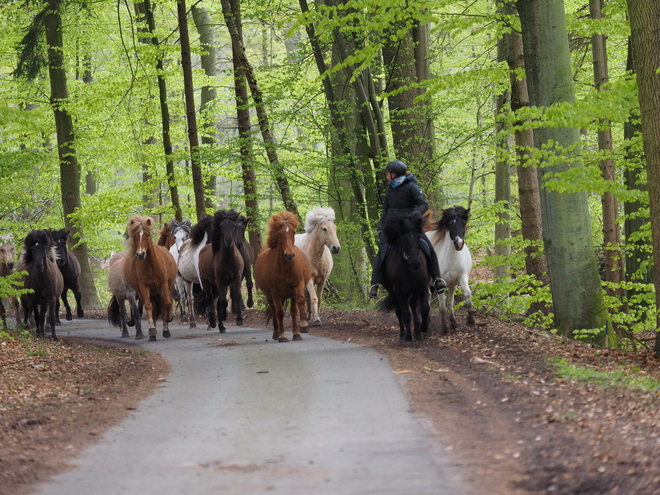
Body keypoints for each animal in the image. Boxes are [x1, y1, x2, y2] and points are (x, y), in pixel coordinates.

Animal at [255, 211, 312, 342]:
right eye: (280, 233)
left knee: (292, 311)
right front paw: (282, 335)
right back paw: (276, 333)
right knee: (274, 310)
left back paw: (296, 333)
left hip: (291, 294)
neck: (285, 268)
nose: (289, 255)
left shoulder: (298, 285)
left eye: (293, 232)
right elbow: (279, 312)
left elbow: (300, 303)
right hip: (269, 295)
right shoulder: (275, 292)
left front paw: (304, 326)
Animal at [378, 208, 430, 340]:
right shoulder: (399, 291)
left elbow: (424, 308)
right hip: (392, 292)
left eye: (418, 237)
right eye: (404, 239)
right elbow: (405, 314)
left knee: (412, 304)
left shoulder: (422, 286)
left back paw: (417, 330)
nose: (415, 264)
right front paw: (408, 336)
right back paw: (403, 334)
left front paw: (423, 328)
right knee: (399, 311)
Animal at [428, 205, 474, 334]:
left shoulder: (461, 277)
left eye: (463, 223)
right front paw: (444, 328)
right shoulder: (439, 284)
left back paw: (453, 322)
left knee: (449, 301)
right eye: (450, 224)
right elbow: (442, 307)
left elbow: (466, 294)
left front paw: (470, 320)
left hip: (452, 284)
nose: (459, 244)